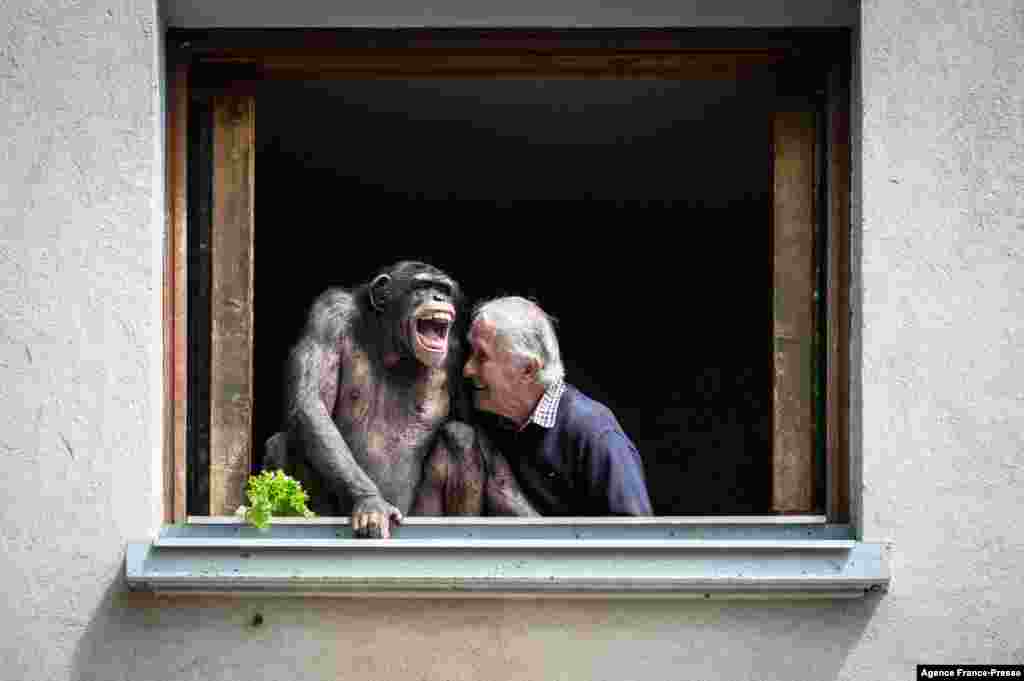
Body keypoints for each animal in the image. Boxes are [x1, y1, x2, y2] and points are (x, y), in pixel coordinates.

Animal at [264, 261, 537, 538]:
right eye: (422, 286)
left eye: (443, 289)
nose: (439, 298)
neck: (393, 345)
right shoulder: (328, 315)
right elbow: (312, 402)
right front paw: (371, 502)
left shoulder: (458, 353)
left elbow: (477, 435)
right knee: (288, 439)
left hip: (421, 514)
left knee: (460, 436)